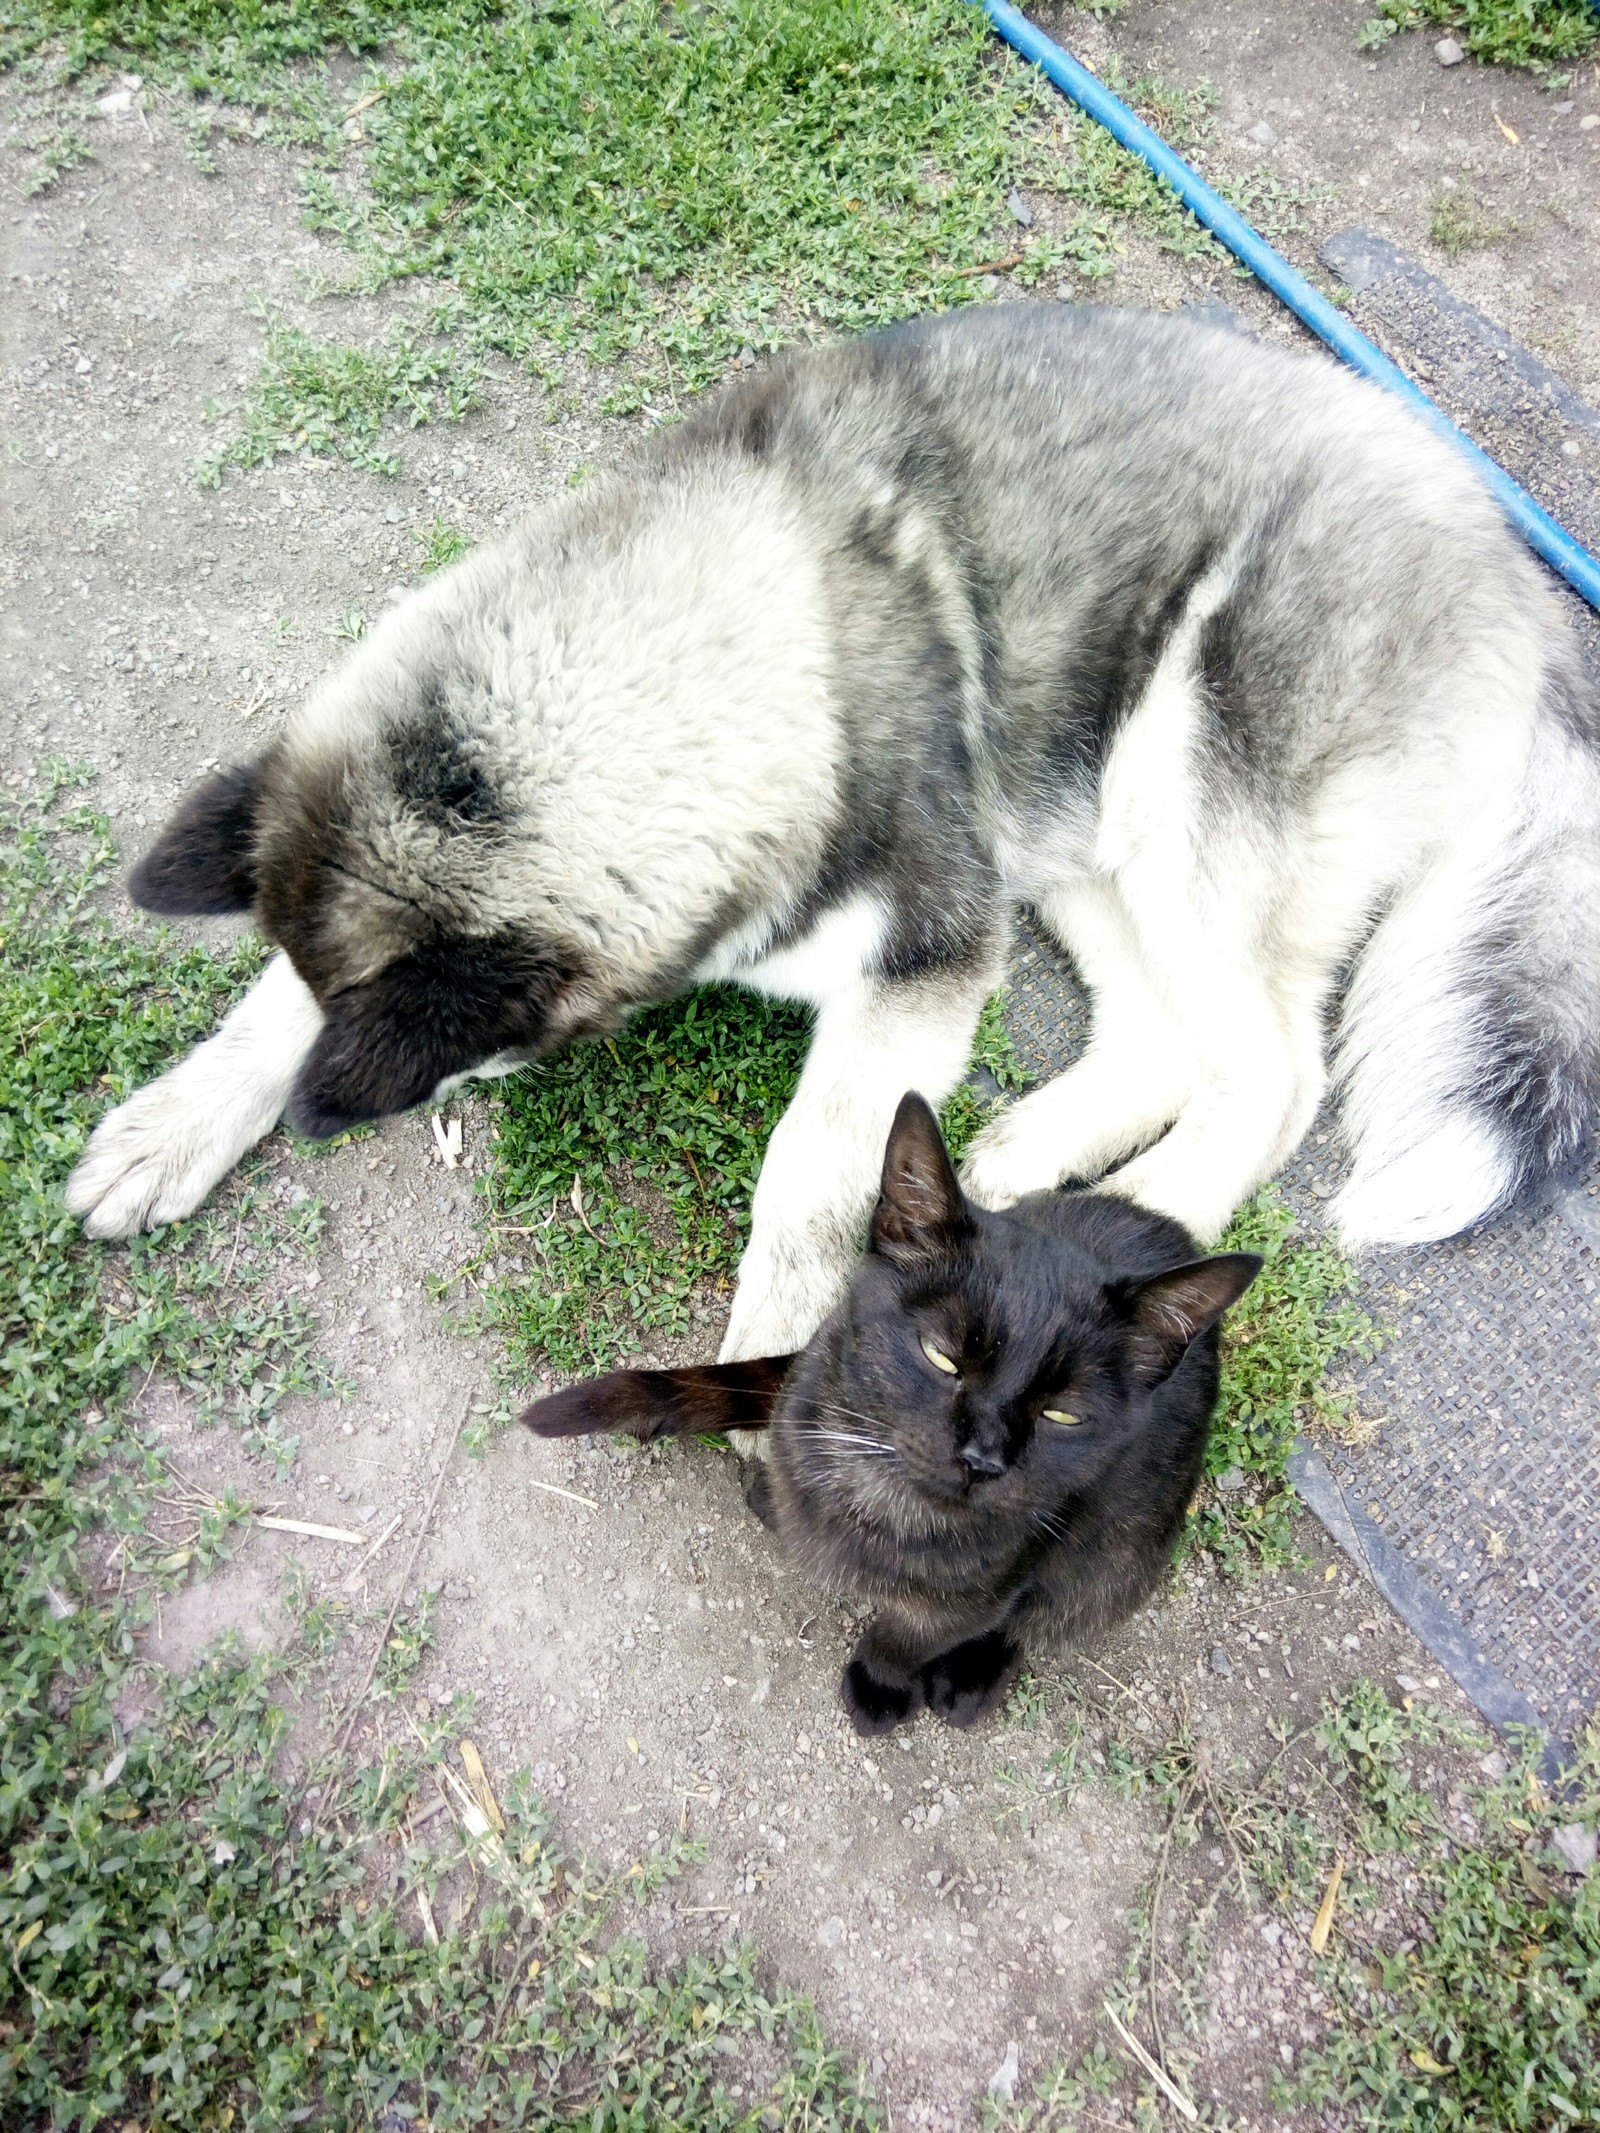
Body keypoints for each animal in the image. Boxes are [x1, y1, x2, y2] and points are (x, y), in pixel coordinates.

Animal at [62, 305, 1600, 1365]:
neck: (755, 634)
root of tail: (1518, 571)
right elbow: (276, 990)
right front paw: (177, 1119)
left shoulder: (920, 961)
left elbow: (811, 1168)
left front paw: (777, 1350)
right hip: (1067, 816)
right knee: (1171, 1035)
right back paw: (1040, 1151)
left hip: (1182, 785)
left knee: (1277, 1072)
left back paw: (1153, 1219)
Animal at [526, 1100, 1262, 1731]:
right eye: (942, 1357)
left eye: (1063, 1414)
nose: (983, 1457)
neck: (879, 1499)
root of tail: (1169, 1227)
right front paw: (776, 1497)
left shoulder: (992, 1584)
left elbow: (913, 1632)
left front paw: (881, 1682)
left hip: (1126, 1547)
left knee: (1057, 1606)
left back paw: (972, 1678)